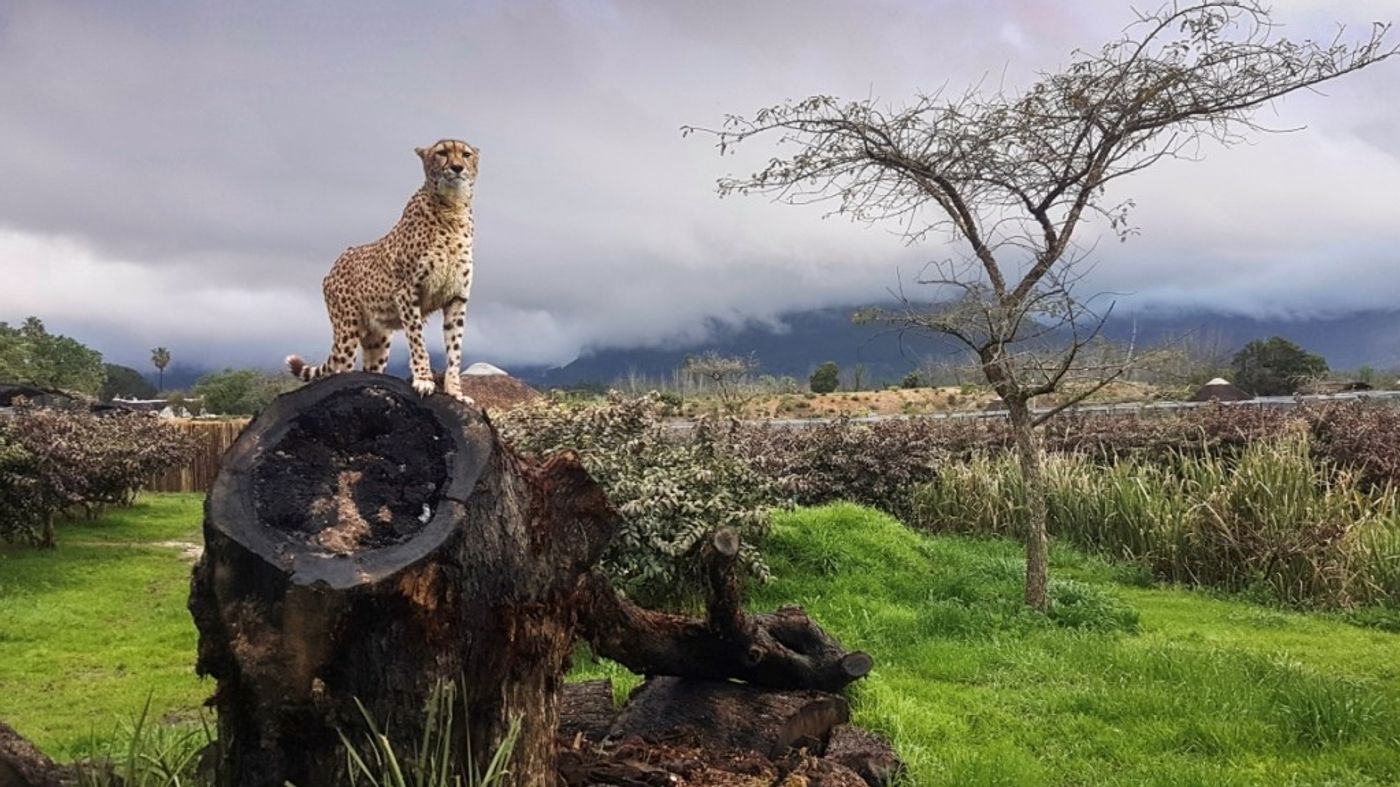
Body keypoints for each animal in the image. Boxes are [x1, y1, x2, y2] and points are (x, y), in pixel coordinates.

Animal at [286, 138, 479, 402]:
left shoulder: (457, 298)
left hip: (379, 338)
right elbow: (418, 340)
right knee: (339, 370)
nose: (457, 167)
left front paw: (456, 392)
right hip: (347, 330)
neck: (452, 207)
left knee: (371, 369)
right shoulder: (407, 293)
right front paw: (423, 379)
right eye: (442, 153)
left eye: (466, 154)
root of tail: (336, 263)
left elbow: (455, 349)